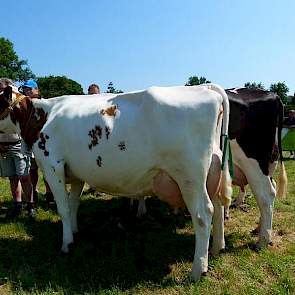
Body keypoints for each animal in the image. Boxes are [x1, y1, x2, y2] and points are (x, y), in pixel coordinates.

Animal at [0, 84, 232, 282]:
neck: (43, 116)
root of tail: (205, 87)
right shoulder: (75, 174)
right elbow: (74, 205)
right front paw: (74, 232)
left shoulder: (52, 166)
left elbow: (64, 209)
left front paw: (66, 244)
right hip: (213, 170)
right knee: (218, 206)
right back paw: (217, 248)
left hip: (189, 176)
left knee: (203, 215)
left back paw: (198, 270)